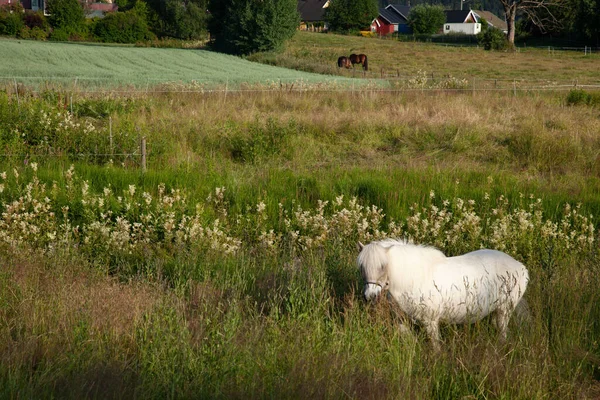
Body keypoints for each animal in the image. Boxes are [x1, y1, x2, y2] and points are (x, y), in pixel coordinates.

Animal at [358, 239, 528, 348]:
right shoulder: (402, 320)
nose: (370, 296)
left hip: (505, 309)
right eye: (361, 267)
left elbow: (435, 346)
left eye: (382, 266)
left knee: (503, 332)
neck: (416, 278)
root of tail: (520, 266)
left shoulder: (431, 321)